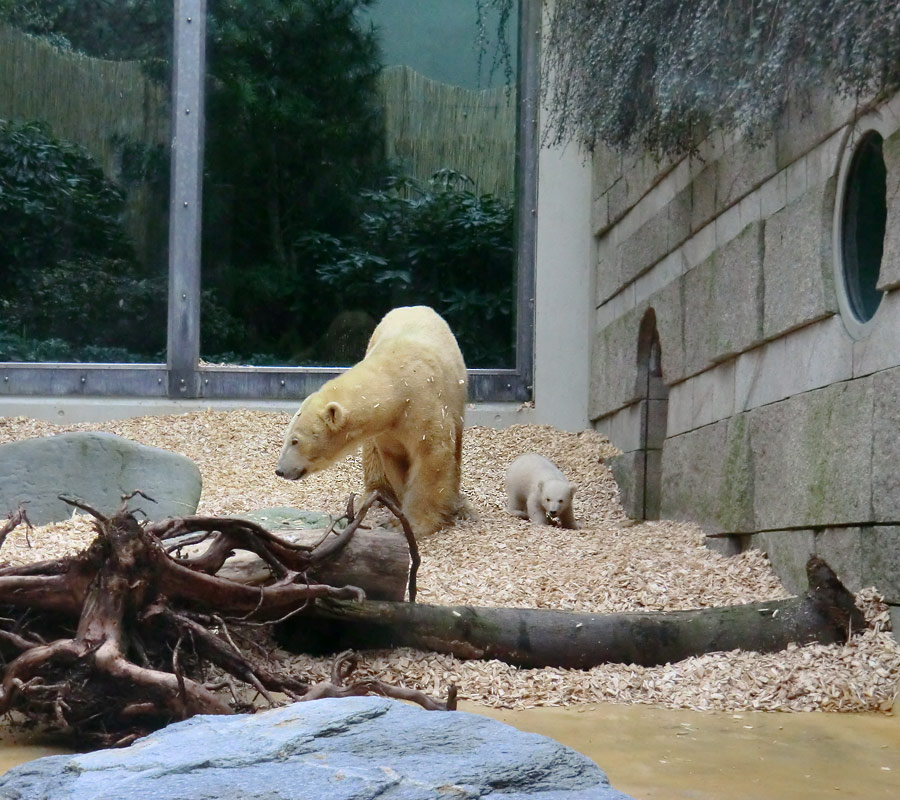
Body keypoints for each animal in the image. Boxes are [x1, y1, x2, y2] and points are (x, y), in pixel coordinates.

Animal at [274, 306, 472, 536]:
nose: (280, 470)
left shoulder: (424, 405)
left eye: (295, 440)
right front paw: (397, 517)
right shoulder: (388, 429)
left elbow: (431, 456)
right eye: (287, 437)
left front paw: (413, 524)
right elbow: (396, 458)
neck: (396, 384)